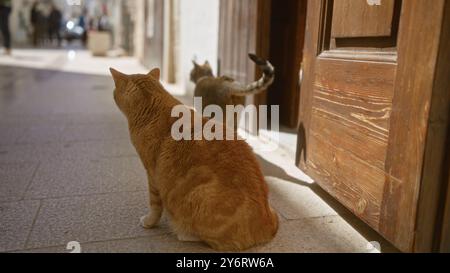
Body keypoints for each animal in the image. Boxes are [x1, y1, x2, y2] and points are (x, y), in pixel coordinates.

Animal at [110, 67, 278, 250]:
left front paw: (149, 222)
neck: (153, 108)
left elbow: (154, 205)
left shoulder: (152, 175)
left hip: (200, 194)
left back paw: (183, 232)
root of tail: (267, 224)